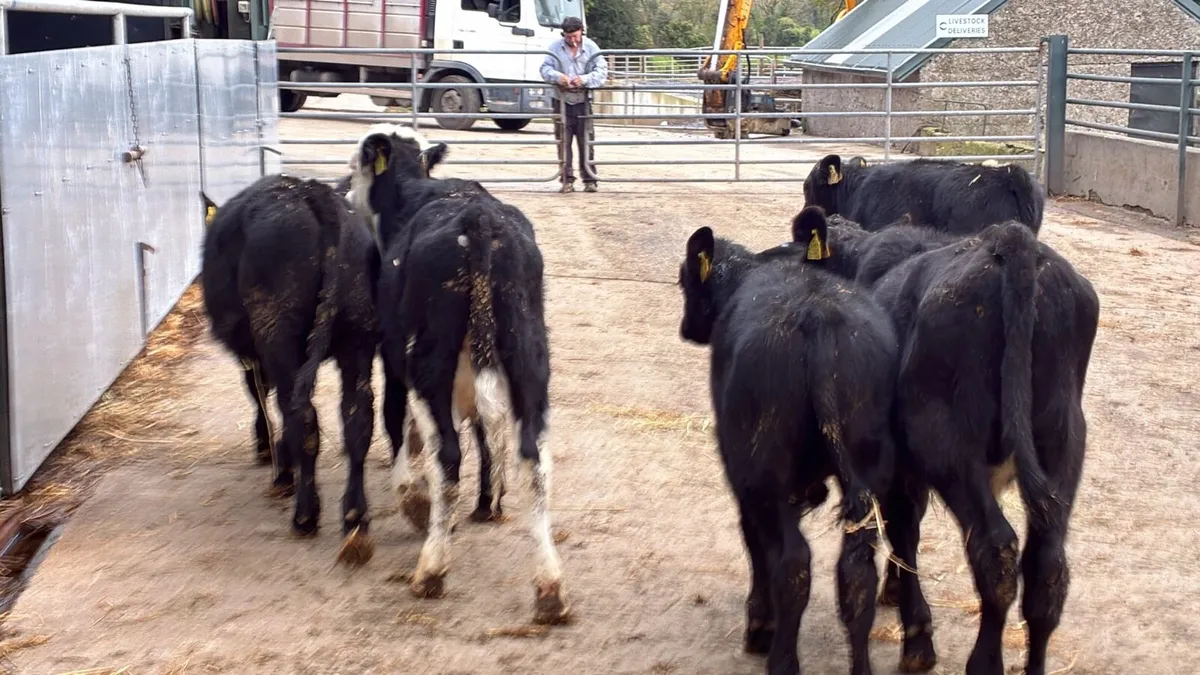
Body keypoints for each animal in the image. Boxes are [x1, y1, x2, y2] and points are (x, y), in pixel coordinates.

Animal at [199, 173, 381, 566]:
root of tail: (313, 193)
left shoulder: (252, 352)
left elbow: (259, 397)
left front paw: (274, 459)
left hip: (278, 334)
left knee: (301, 415)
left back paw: (305, 514)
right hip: (358, 336)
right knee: (357, 417)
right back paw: (355, 520)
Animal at [348, 123, 569, 625]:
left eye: (355, 166)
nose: (345, 191)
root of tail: (478, 221)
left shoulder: (393, 357)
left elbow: (396, 422)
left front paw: (412, 497)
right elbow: (489, 436)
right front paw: (489, 502)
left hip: (428, 363)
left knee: (447, 454)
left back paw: (431, 568)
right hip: (529, 358)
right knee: (534, 459)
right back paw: (549, 588)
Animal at [677, 225, 900, 675]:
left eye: (683, 281)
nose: (686, 326)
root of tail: (817, 318)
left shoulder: (745, 480)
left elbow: (756, 544)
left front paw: (759, 626)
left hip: (765, 472)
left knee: (793, 563)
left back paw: (780, 656)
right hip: (869, 471)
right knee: (857, 574)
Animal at [786, 206, 1099, 675]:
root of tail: (1011, 240)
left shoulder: (897, 464)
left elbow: (904, 529)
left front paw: (917, 638)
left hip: (948, 446)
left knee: (995, 549)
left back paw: (983, 662)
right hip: (1062, 442)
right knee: (1047, 564)